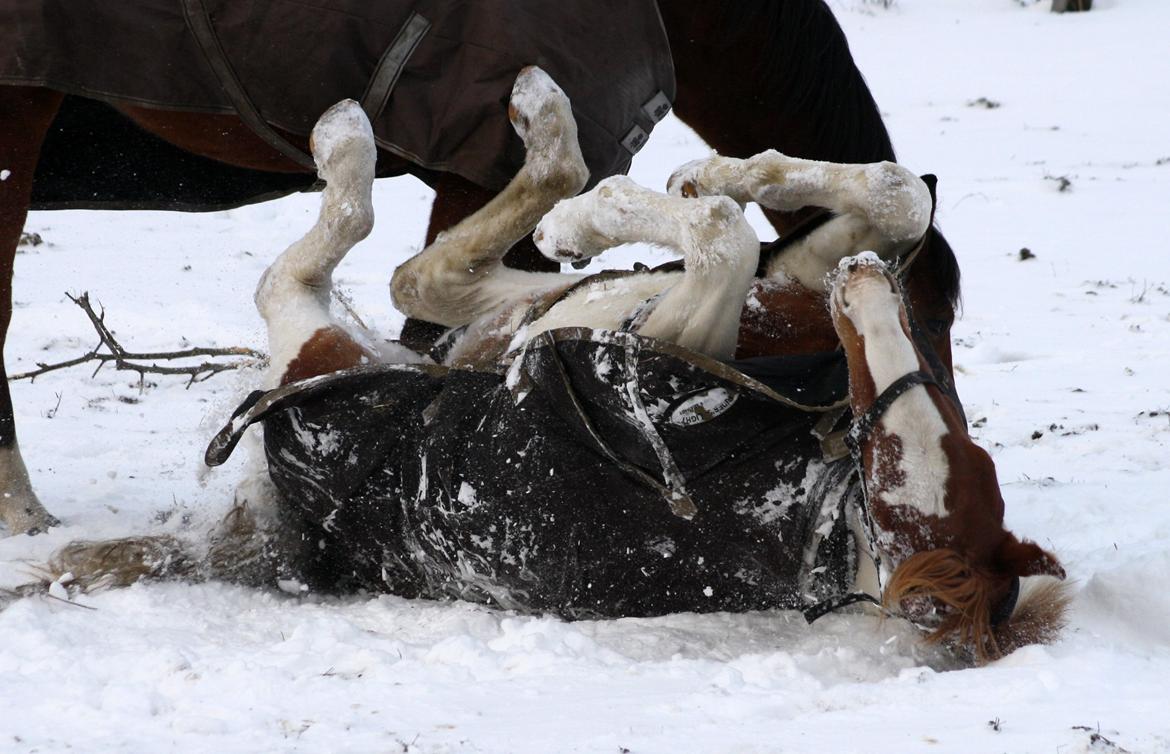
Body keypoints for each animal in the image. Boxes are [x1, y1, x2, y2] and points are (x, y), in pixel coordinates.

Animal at [59, 70, 1071, 660]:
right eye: (939, 441)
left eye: (896, 461)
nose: (862, 289)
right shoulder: (788, 280)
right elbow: (889, 199)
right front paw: (727, 174)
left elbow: (721, 237)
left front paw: (614, 209)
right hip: (494, 321)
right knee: (428, 271)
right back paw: (548, 127)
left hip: (325, 339)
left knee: (318, 260)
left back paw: (363, 140)